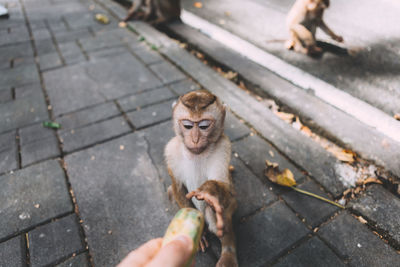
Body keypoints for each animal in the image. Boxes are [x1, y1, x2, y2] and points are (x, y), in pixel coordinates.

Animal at [165, 90, 238, 267]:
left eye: (204, 125)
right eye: (188, 125)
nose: (195, 139)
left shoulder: (223, 147)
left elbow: (224, 187)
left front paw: (209, 191)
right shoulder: (171, 150)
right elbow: (177, 188)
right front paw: (199, 235)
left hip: (233, 206)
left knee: (219, 212)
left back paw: (228, 251)